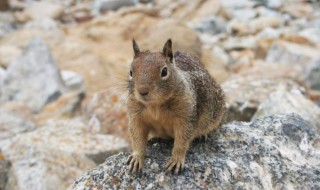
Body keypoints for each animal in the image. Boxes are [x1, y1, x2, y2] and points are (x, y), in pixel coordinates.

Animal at [125, 38, 225, 174]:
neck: (155, 104)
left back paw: (203, 135)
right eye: (131, 72)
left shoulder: (185, 116)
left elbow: (182, 140)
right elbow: (137, 137)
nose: (142, 91)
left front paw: (176, 160)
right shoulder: (135, 116)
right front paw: (136, 158)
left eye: (164, 71)